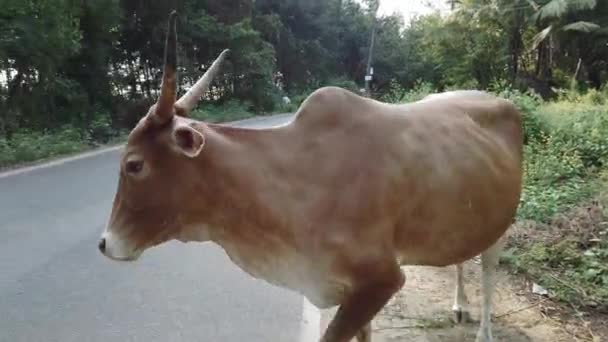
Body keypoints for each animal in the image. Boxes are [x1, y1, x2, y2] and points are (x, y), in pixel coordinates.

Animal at [98, 12, 524, 342]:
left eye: (134, 164)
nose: (104, 244)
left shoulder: (382, 280)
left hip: (503, 221)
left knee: (488, 271)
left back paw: (483, 329)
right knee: (462, 258)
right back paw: (459, 305)